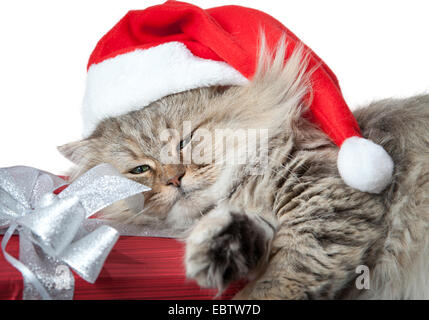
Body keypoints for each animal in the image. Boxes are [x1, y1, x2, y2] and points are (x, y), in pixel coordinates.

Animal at [59, 42, 428, 300]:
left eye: (184, 142)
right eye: (139, 170)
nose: (174, 179)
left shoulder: (322, 200)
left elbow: (286, 274)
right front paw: (216, 252)